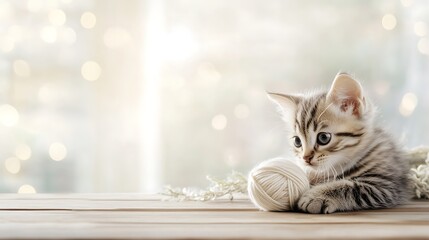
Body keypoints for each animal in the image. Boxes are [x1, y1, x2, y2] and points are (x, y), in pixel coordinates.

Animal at [270, 72, 410, 214]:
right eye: (297, 141)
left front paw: (316, 196)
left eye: (323, 138)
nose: (305, 158)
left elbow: (350, 187)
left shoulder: (383, 184)